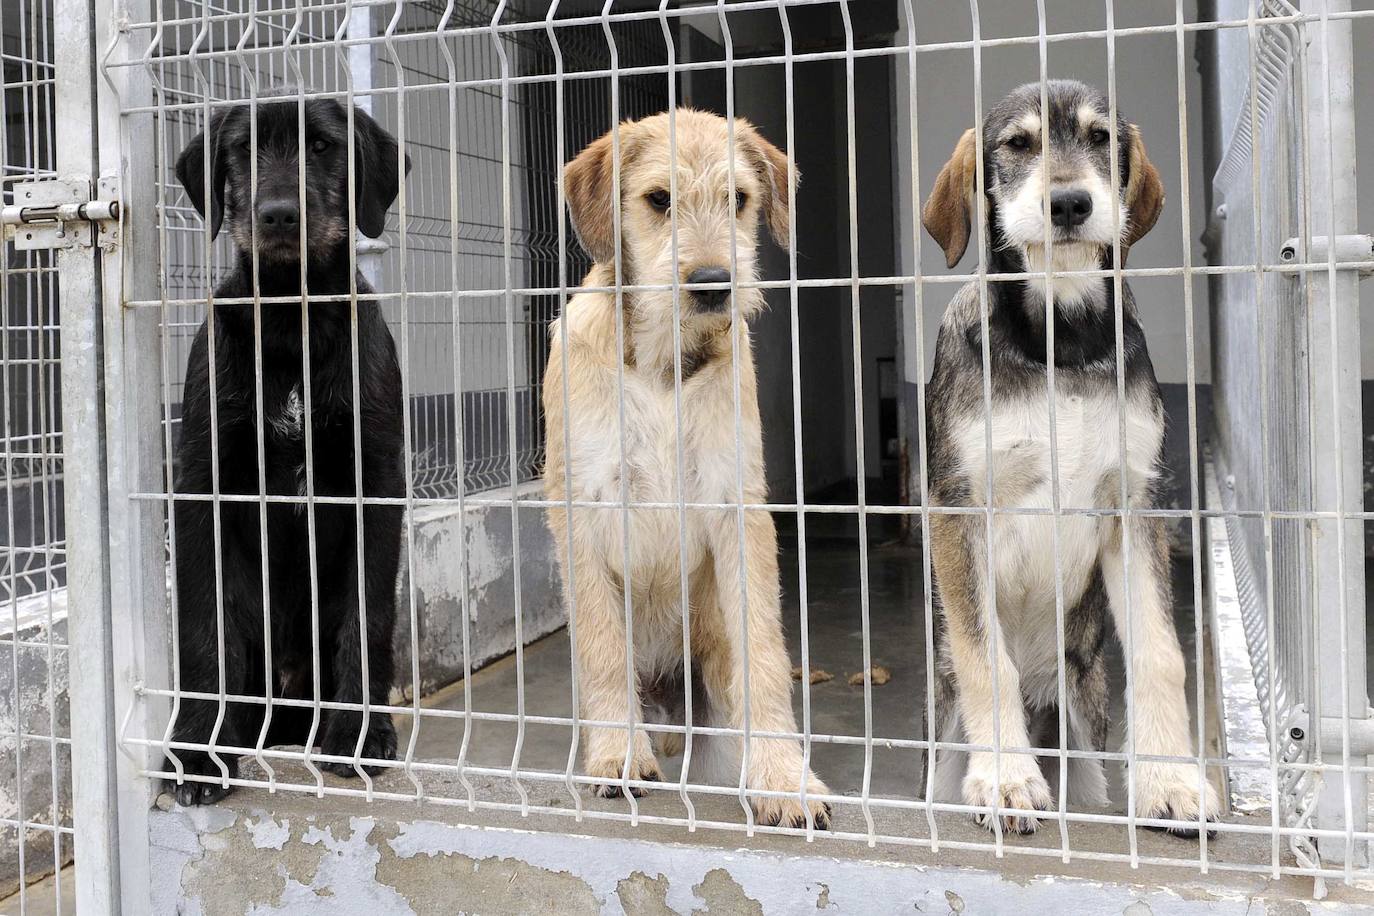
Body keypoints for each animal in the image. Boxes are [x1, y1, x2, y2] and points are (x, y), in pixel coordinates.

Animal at [169, 96, 409, 807]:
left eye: (324, 146)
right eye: (244, 150)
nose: (278, 213)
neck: (289, 317)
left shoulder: (375, 483)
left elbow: (368, 617)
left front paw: (359, 735)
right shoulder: (202, 484)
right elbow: (203, 628)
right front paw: (198, 749)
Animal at [544, 109, 824, 829]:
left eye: (739, 200)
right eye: (658, 200)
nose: (712, 284)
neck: (662, 364)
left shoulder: (738, 508)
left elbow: (762, 651)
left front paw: (783, 776)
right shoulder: (583, 508)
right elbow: (604, 648)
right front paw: (617, 755)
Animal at [917, 82, 1220, 840]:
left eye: (1100, 138)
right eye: (1018, 145)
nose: (1070, 204)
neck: (1061, 339)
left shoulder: (1136, 502)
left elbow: (1161, 652)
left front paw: (1172, 781)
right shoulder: (958, 508)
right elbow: (983, 653)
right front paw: (1005, 777)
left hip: (1082, 734)